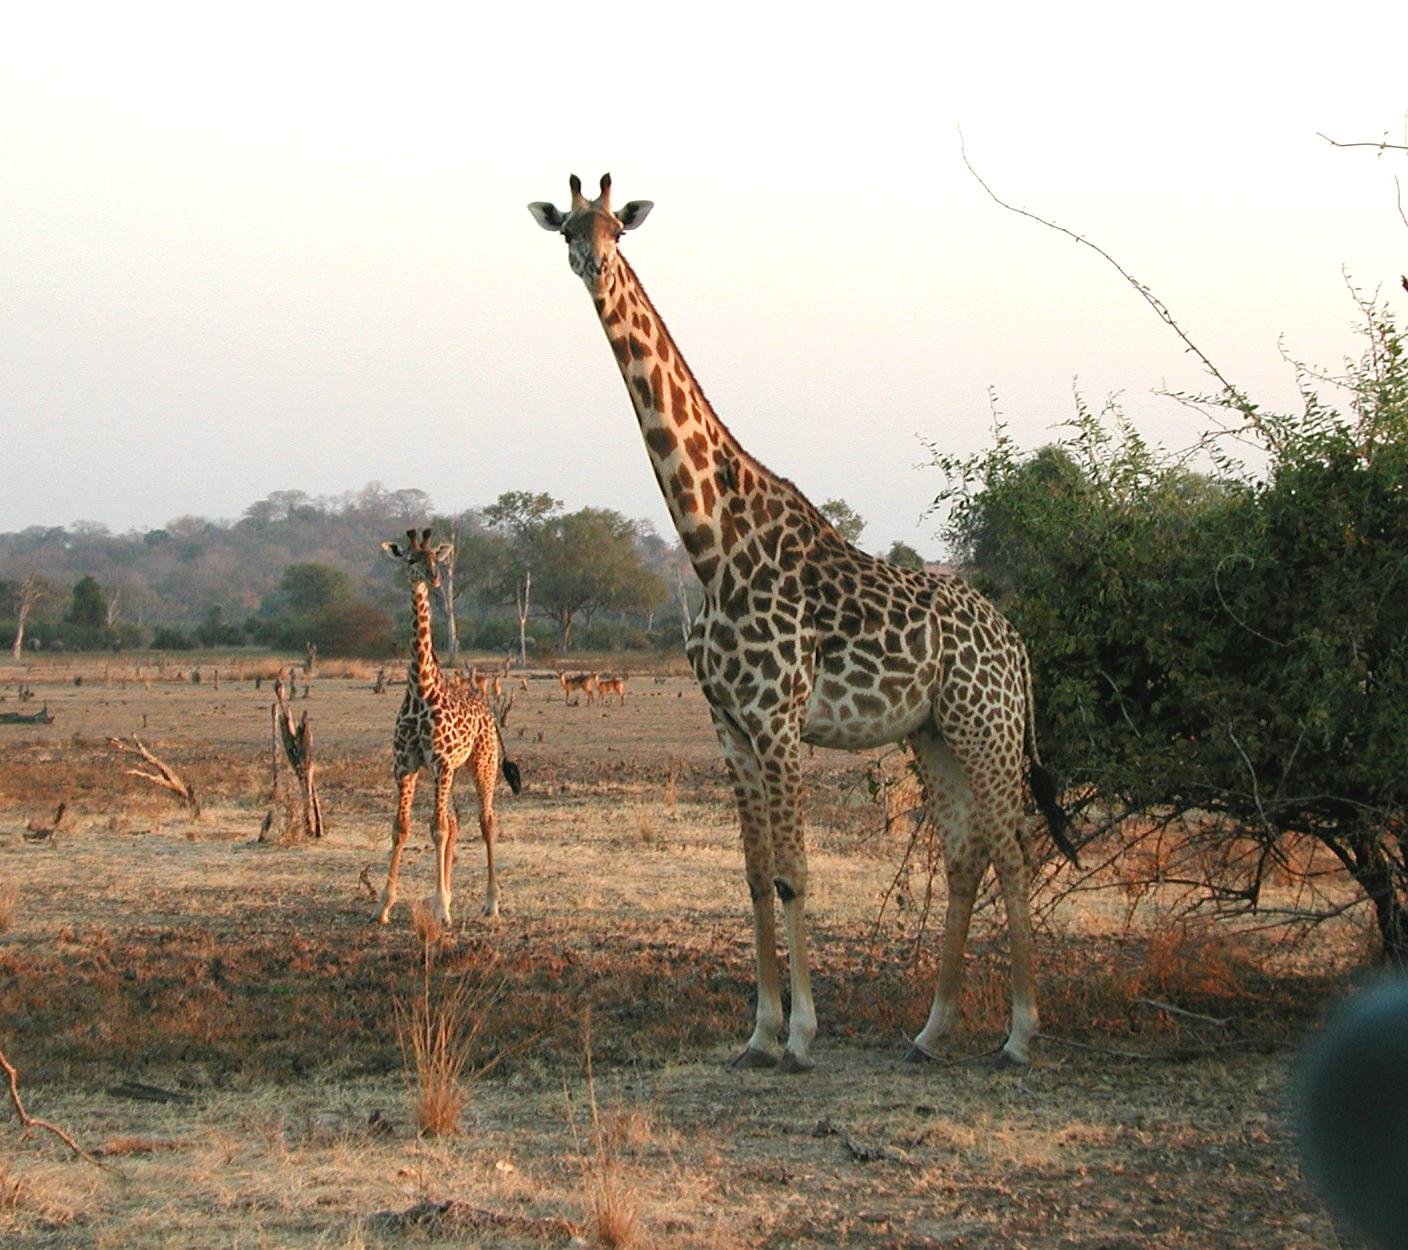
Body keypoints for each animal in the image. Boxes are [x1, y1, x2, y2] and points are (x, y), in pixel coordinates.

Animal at [376, 529, 523, 926]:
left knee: (487, 819)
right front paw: (384, 905)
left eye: (435, 560)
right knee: (456, 820)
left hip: (482, 763)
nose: (435, 578)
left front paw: (442, 909)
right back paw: (453, 895)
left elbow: (437, 828)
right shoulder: (406, 765)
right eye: (411, 559)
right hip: (454, 771)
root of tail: (488, 711)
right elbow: (401, 827)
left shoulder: (439, 763)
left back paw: (491, 902)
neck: (420, 688)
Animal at [529, 175, 1079, 1072]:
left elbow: (795, 874)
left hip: (987, 727)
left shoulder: (780, 721)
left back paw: (1021, 1034)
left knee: (1012, 851)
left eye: (619, 229)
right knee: (965, 857)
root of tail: (1018, 643)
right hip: (932, 735)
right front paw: (755, 1033)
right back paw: (931, 1030)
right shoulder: (729, 727)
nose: (593, 263)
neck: (711, 545)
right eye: (569, 228)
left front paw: (800, 1035)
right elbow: (755, 879)